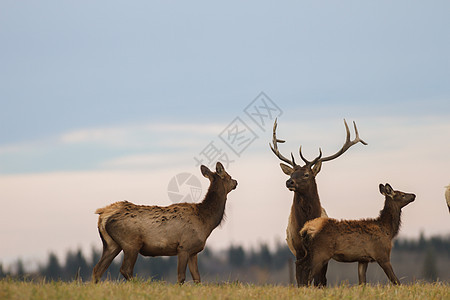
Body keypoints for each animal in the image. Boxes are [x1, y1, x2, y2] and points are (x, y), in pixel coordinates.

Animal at [92, 162, 239, 284]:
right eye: (229, 176)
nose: (236, 182)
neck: (206, 221)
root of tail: (103, 215)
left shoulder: (193, 251)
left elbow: (197, 278)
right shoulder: (184, 247)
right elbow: (181, 277)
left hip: (112, 244)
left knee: (97, 269)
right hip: (131, 243)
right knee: (125, 269)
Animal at [268, 118, 368, 288]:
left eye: (306, 174)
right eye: (292, 173)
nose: (289, 182)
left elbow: (318, 279)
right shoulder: (298, 250)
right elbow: (300, 279)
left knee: (321, 279)